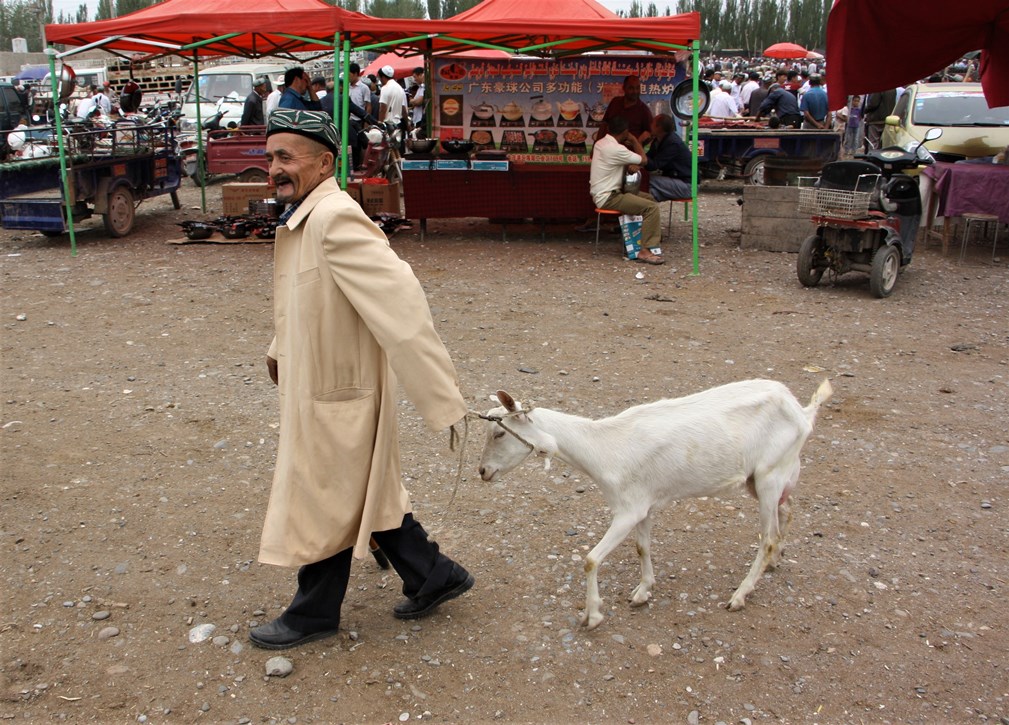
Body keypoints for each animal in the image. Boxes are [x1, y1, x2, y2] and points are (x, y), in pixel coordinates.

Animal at [476, 379, 831, 629]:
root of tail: (802, 411)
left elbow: (591, 559)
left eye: (499, 433)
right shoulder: (642, 504)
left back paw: (740, 595)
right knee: (786, 511)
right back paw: (774, 561)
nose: (482, 471)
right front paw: (643, 592)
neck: (602, 449)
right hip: (760, 478)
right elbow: (642, 547)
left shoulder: (627, 510)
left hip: (770, 474)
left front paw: (592, 616)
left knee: (767, 537)